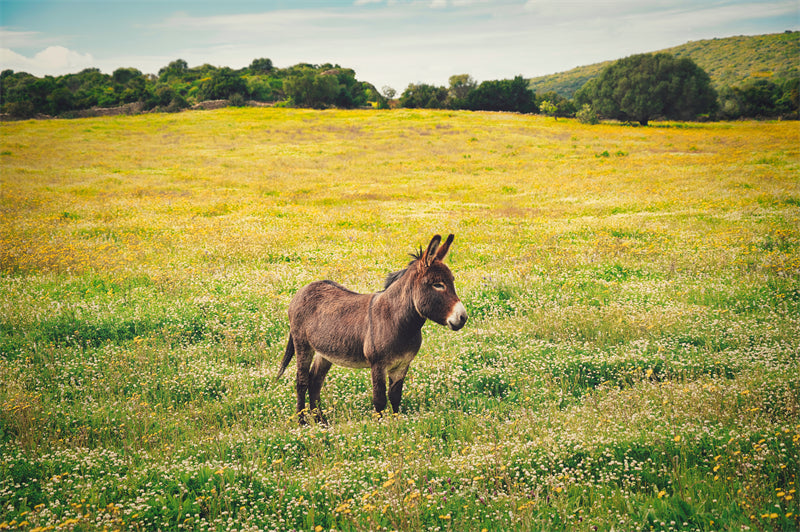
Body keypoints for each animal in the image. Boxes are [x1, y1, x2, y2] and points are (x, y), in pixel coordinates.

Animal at [277, 234, 467, 424]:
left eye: (452, 282)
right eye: (438, 285)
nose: (463, 317)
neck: (398, 321)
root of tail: (305, 288)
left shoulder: (402, 365)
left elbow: (395, 397)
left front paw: (397, 425)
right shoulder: (378, 365)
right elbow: (380, 400)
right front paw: (381, 427)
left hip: (324, 351)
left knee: (315, 381)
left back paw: (321, 422)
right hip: (302, 344)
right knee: (301, 381)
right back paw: (302, 422)